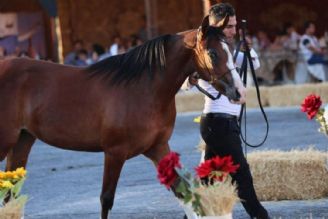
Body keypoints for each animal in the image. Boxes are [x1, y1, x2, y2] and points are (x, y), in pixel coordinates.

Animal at [0, 15, 241, 219]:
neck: (143, 88)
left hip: (22, 141)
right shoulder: (114, 152)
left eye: (231, 50)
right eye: (212, 53)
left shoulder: (158, 147)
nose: (238, 91)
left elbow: (183, 193)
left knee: (10, 196)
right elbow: (106, 200)